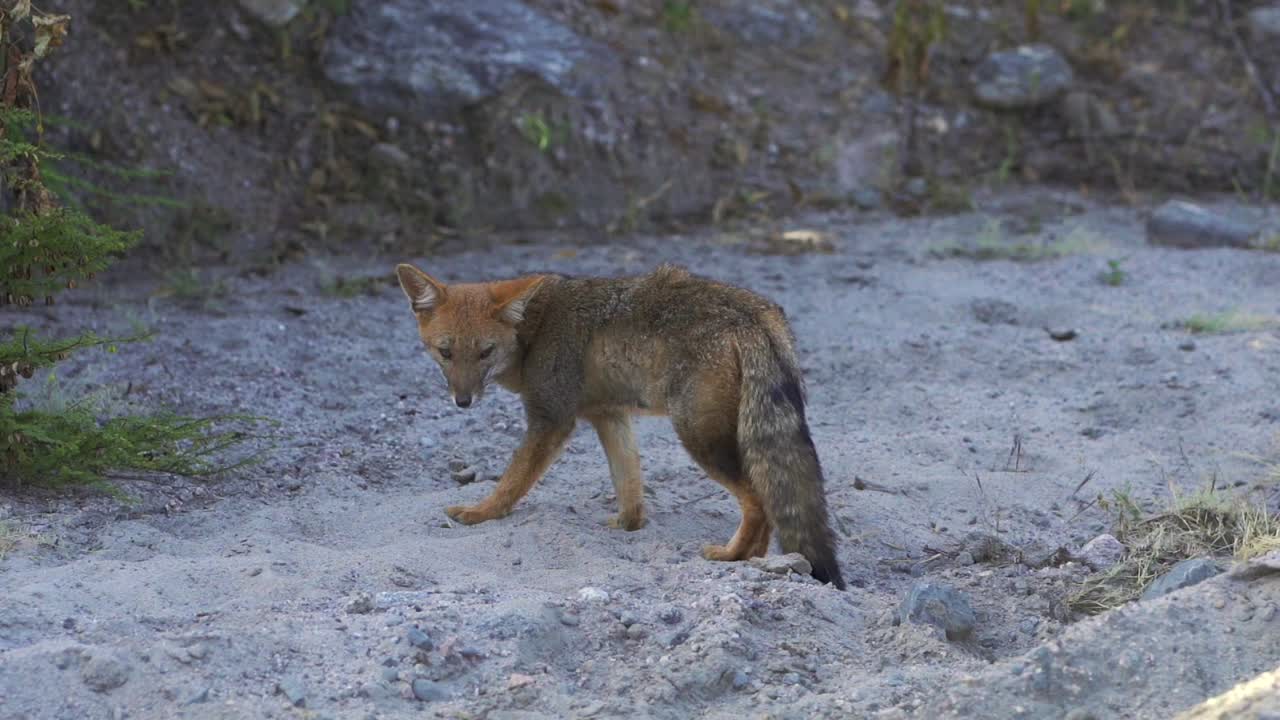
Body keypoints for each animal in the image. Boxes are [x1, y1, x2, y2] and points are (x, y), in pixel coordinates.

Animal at [394, 262, 845, 590]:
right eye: (446, 352)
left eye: (485, 352)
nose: (463, 401)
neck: (534, 331)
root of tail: (752, 311)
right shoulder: (609, 415)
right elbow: (628, 483)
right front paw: (628, 526)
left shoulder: (552, 419)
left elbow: (512, 481)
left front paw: (480, 513)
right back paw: (756, 560)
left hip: (699, 438)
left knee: (758, 500)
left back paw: (735, 557)